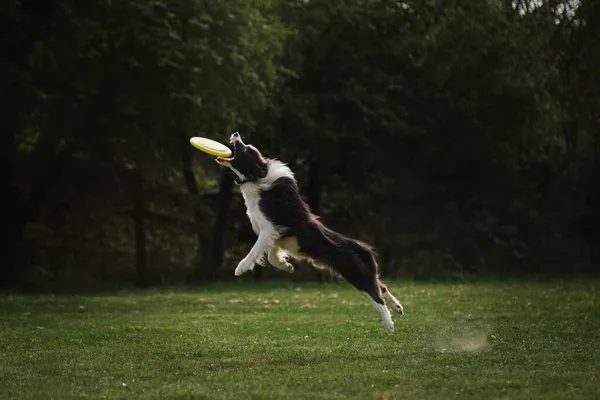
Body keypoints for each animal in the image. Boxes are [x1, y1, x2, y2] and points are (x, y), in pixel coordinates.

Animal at [216, 132, 404, 334]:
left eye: (245, 149)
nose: (236, 133)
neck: (257, 177)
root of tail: (363, 248)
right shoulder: (276, 234)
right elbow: (273, 257)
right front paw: (287, 266)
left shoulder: (270, 227)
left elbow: (254, 251)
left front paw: (241, 267)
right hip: (362, 271)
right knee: (380, 286)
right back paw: (397, 307)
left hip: (353, 272)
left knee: (376, 296)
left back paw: (389, 324)